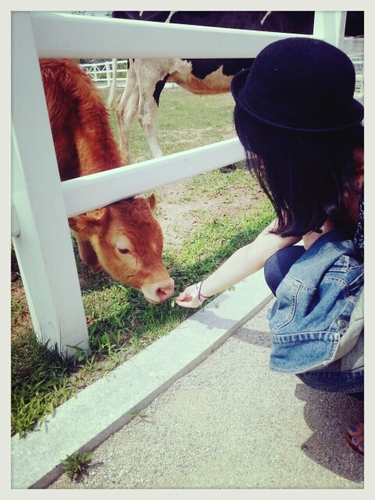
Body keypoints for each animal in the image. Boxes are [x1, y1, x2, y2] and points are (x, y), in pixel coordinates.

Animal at [108, 10, 364, 164]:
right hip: (152, 70)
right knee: (145, 116)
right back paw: (159, 160)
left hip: (134, 72)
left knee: (124, 112)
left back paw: (125, 162)